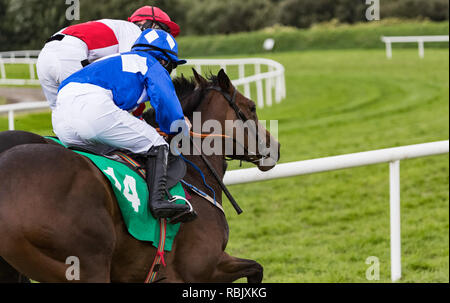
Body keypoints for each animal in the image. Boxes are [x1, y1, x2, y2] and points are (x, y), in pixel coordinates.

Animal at [0, 70, 282, 284]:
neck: (193, 170)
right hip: (85, 265)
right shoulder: (202, 268)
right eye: (251, 107)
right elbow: (256, 269)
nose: (275, 147)